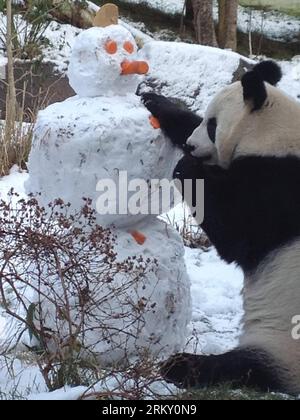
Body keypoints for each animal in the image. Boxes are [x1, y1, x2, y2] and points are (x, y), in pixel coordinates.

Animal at [142, 60, 300, 396]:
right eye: (205, 120)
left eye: (213, 126)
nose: (191, 145)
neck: (274, 134)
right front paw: (156, 101)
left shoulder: (280, 190)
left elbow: (237, 235)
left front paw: (188, 166)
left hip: (284, 340)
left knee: (247, 367)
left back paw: (182, 366)